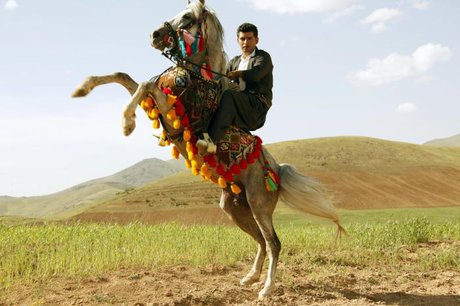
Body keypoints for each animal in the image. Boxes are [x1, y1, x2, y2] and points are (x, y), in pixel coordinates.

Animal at [72, 0, 344, 300]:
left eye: (187, 18)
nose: (154, 35)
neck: (196, 77)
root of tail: (277, 170)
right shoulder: (160, 105)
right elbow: (126, 77)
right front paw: (82, 88)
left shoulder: (170, 112)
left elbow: (144, 83)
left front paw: (126, 123)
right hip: (235, 207)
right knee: (261, 241)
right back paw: (250, 278)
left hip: (259, 204)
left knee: (274, 243)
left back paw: (266, 288)